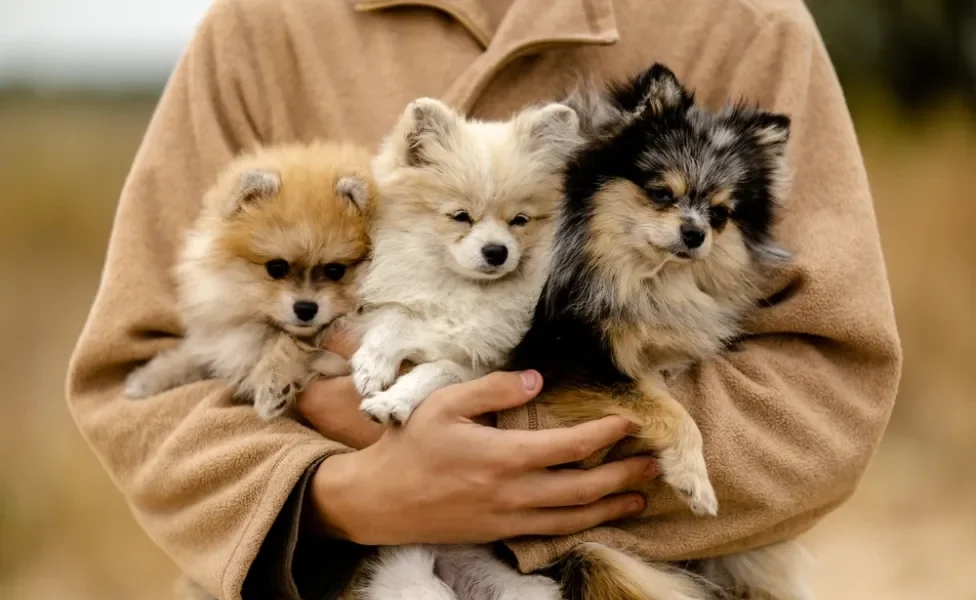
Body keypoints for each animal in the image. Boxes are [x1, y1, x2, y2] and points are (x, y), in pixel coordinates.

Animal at [125, 143, 374, 420]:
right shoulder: (226, 336)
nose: (306, 308)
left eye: (335, 270)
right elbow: (201, 353)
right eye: (276, 267)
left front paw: (271, 385)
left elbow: (285, 343)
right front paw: (149, 377)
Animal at [508, 63, 812, 596]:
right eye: (660, 194)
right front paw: (694, 479)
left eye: (720, 213)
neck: (646, 276)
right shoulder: (562, 357)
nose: (695, 233)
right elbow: (670, 409)